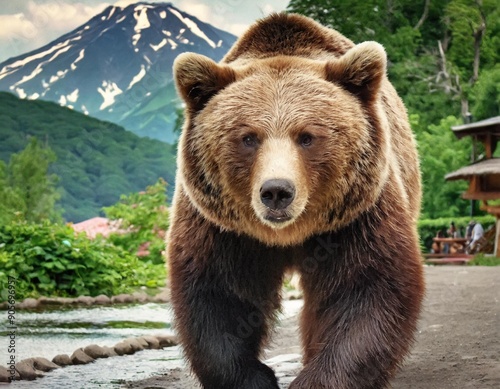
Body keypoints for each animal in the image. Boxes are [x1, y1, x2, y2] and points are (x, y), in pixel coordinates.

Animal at [167, 12, 422, 388]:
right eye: (248, 137)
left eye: (307, 136)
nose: (276, 191)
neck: (287, 235)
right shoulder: (222, 228)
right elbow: (220, 295)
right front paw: (254, 377)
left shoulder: (356, 217)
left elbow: (365, 289)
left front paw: (317, 377)